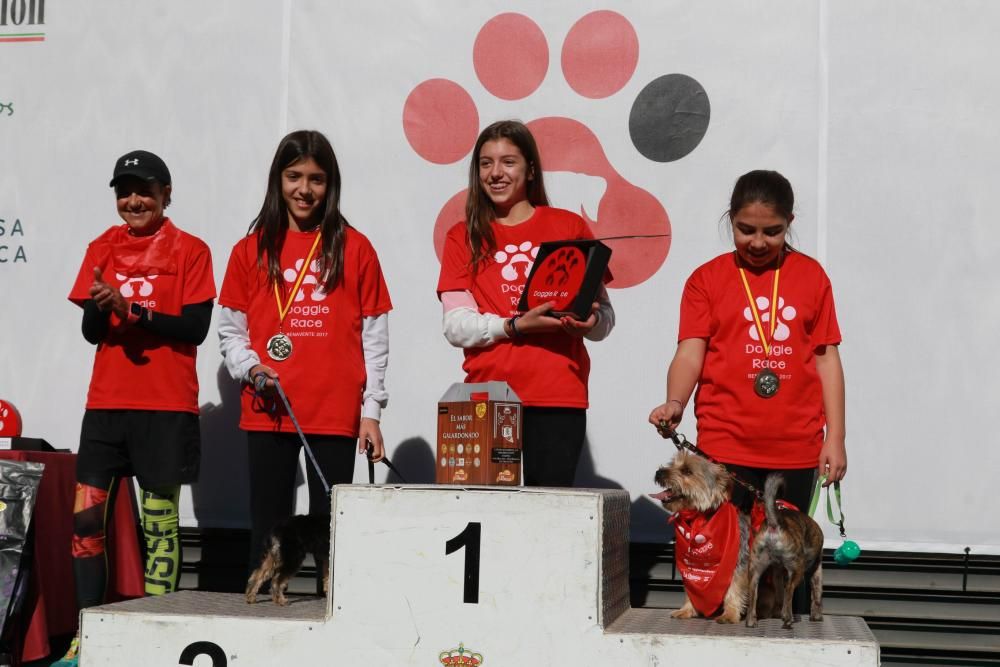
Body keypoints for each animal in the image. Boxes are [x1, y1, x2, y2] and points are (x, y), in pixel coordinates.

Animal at [748, 478, 824, 628]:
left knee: (754, 591)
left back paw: (752, 621)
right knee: (789, 589)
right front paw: (816, 616)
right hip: (797, 569)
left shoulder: (777, 572)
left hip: (756, 568)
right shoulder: (816, 568)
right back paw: (788, 618)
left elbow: (779, 594)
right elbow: (816, 594)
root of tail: (774, 524)